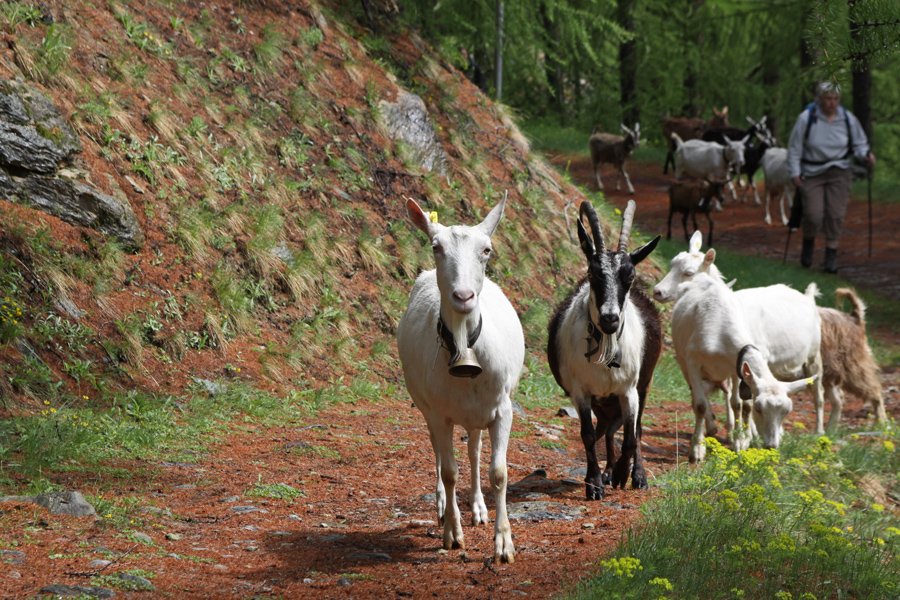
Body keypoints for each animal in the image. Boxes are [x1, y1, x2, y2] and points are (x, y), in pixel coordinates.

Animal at [396, 196, 524, 563]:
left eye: (487, 250)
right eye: (435, 246)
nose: (464, 296)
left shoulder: (503, 407)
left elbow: (499, 472)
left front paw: (503, 544)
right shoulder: (439, 412)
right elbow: (450, 471)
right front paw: (453, 535)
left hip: (477, 412)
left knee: (474, 449)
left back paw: (479, 507)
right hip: (426, 403)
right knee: (439, 453)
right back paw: (442, 506)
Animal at [548, 199, 661, 498]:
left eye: (630, 276)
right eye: (592, 272)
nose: (610, 319)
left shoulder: (629, 390)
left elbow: (632, 436)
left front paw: (624, 474)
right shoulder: (581, 392)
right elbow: (588, 435)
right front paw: (595, 483)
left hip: (643, 384)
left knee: (634, 429)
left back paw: (636, 475)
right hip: (603, 401)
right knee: (607, 431)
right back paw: (608, 472)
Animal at [654, 232, 821, 460]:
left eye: (787, 411)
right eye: (760, 408)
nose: (772, 445)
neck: (719, 329)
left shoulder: (735, 367)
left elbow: (738, 403)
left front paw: (740, 441)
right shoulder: (693, 362)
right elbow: (700, 404)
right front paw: (697, 449)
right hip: (683, 361)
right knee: (697, 395)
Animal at [818, 288, 887, 427]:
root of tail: (854, 318)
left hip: (852, 366)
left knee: (874, 390)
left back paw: (881, 423)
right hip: (830, 371)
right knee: (839, 398)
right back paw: (830, 429)